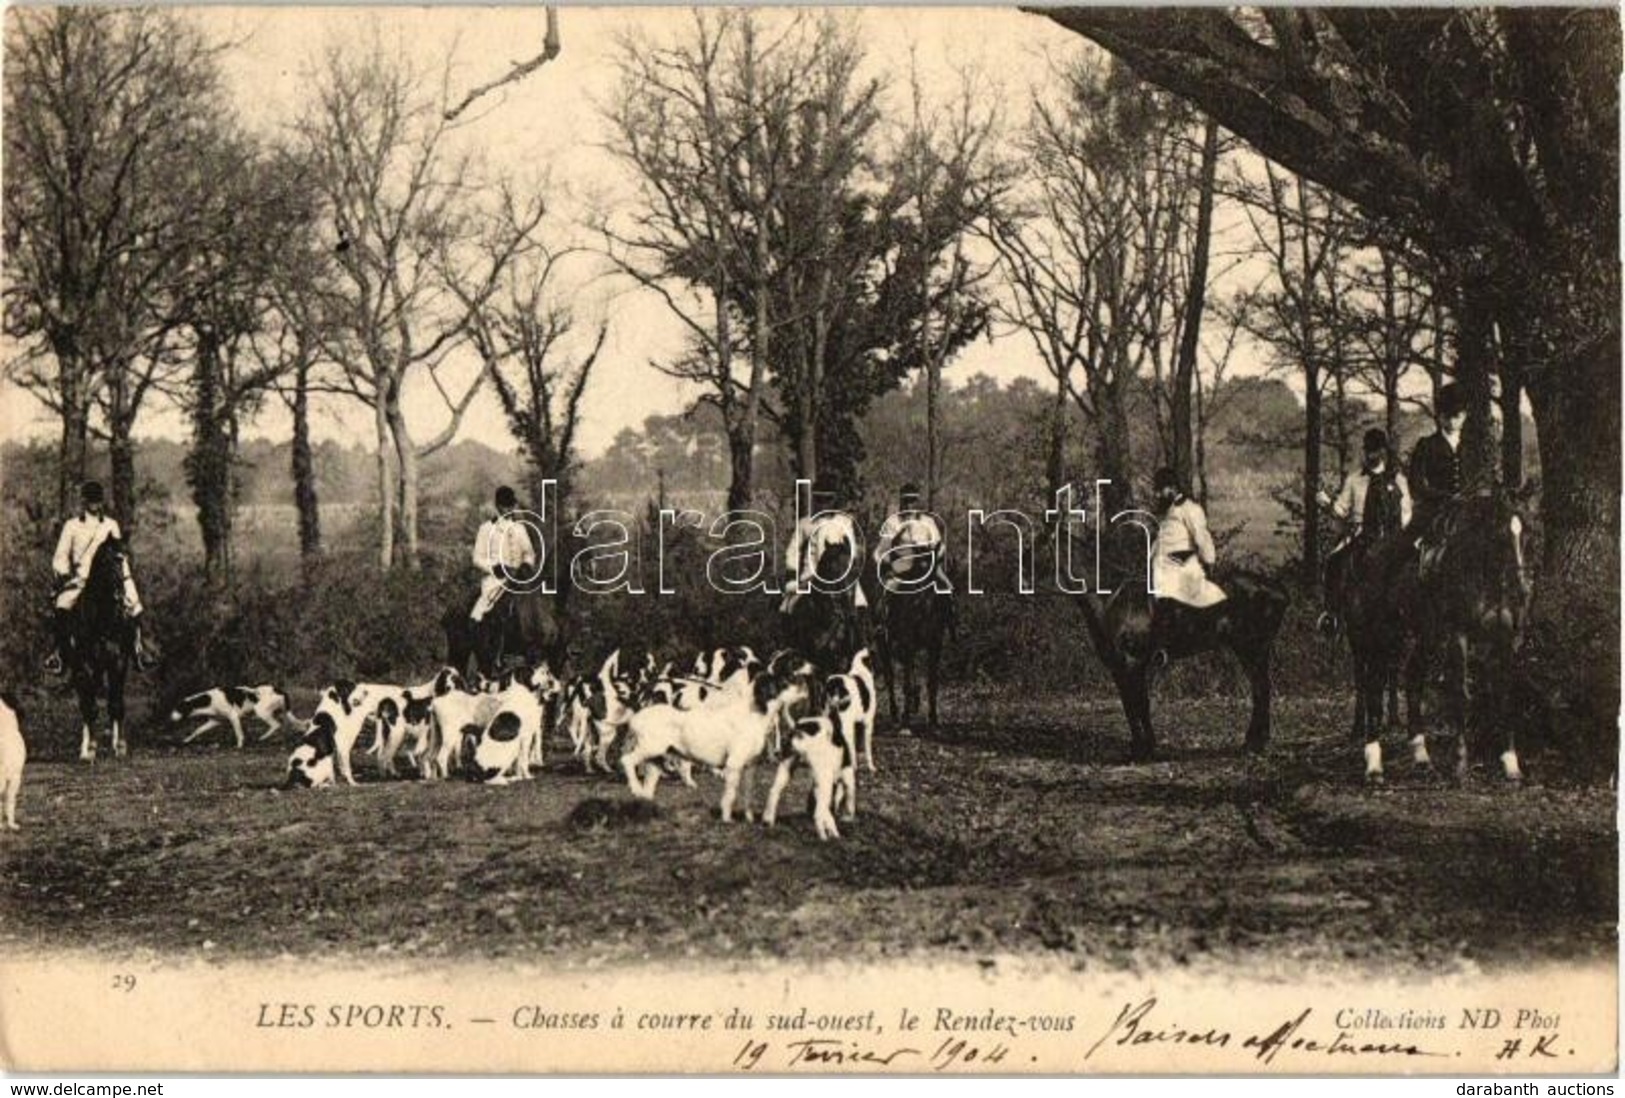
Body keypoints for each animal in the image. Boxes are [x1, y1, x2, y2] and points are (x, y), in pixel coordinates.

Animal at [66, 532, 134, 760]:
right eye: (106, 561)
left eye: (126, 559)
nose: (121, 596)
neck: (104, 620)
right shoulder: (85, 665)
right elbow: (91, 707)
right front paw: (91, 749)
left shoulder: (119, 662)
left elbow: (117, 705)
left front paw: (120, 746)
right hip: (80, 670)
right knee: (85, 704)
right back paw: (84, 749)